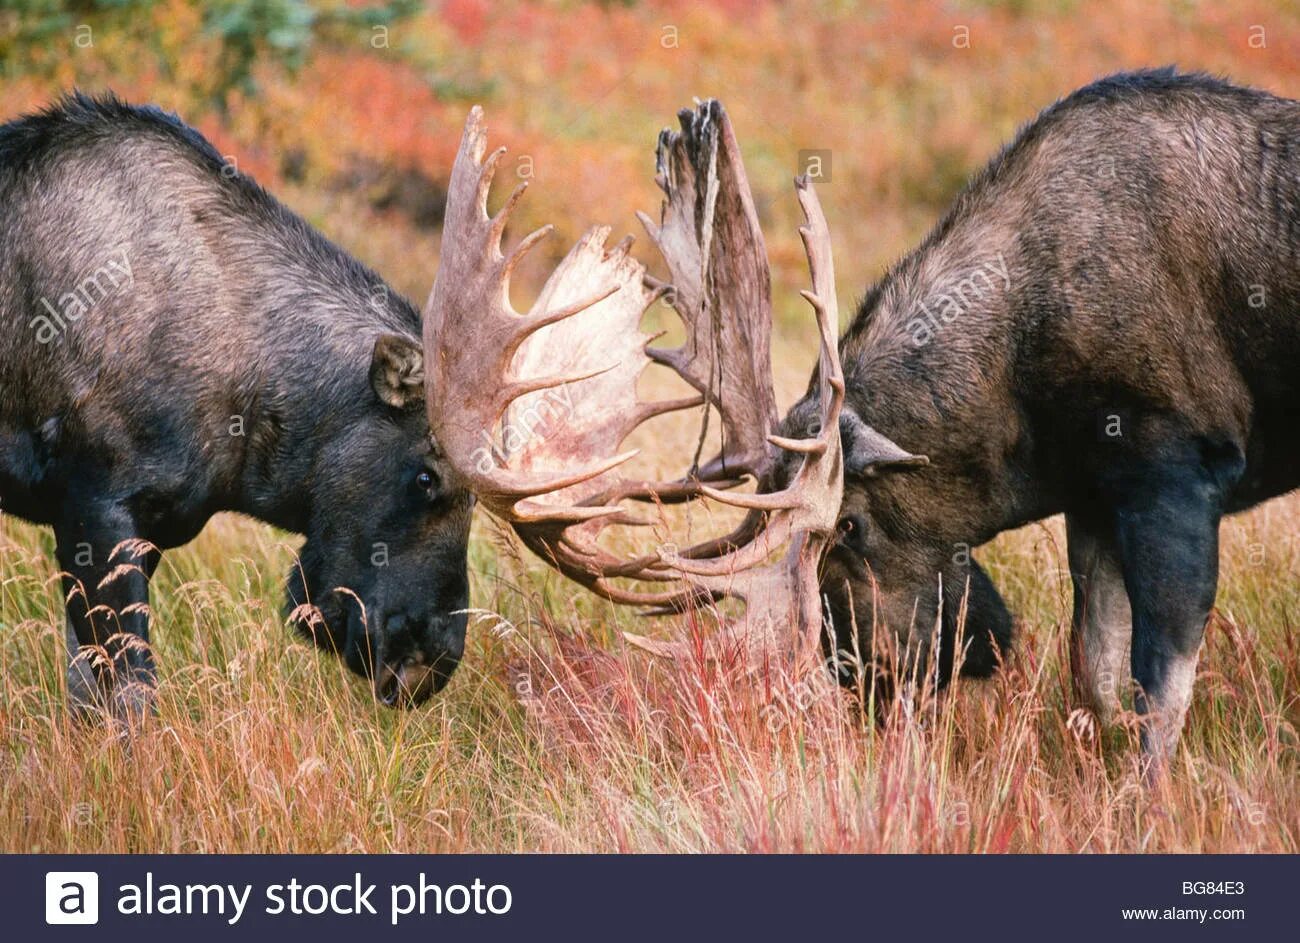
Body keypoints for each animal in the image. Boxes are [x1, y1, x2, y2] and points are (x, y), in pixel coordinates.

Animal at [0, 95, 475, 712]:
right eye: (425, 477)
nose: (430, 663)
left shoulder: (150, 524)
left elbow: (87, 692)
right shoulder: (93, 504)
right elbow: (131, 696)